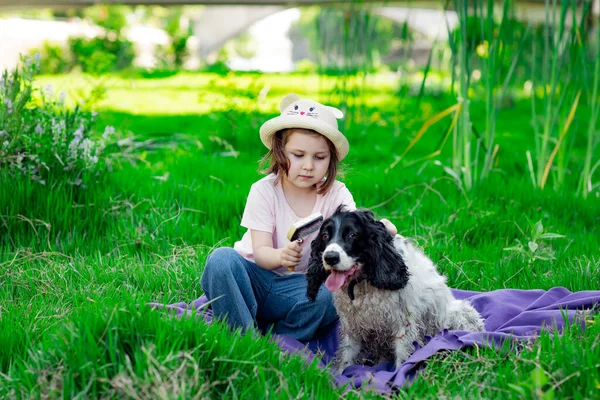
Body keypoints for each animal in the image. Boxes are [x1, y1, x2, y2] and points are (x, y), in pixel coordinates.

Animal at [308, 209, 486, 372]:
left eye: (352, 234)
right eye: (325, 236)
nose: (330, 257)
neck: (363, 286)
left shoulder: (403, 326)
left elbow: (402, 358)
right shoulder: (352, 327)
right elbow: (346, 357)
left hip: (457, 313)